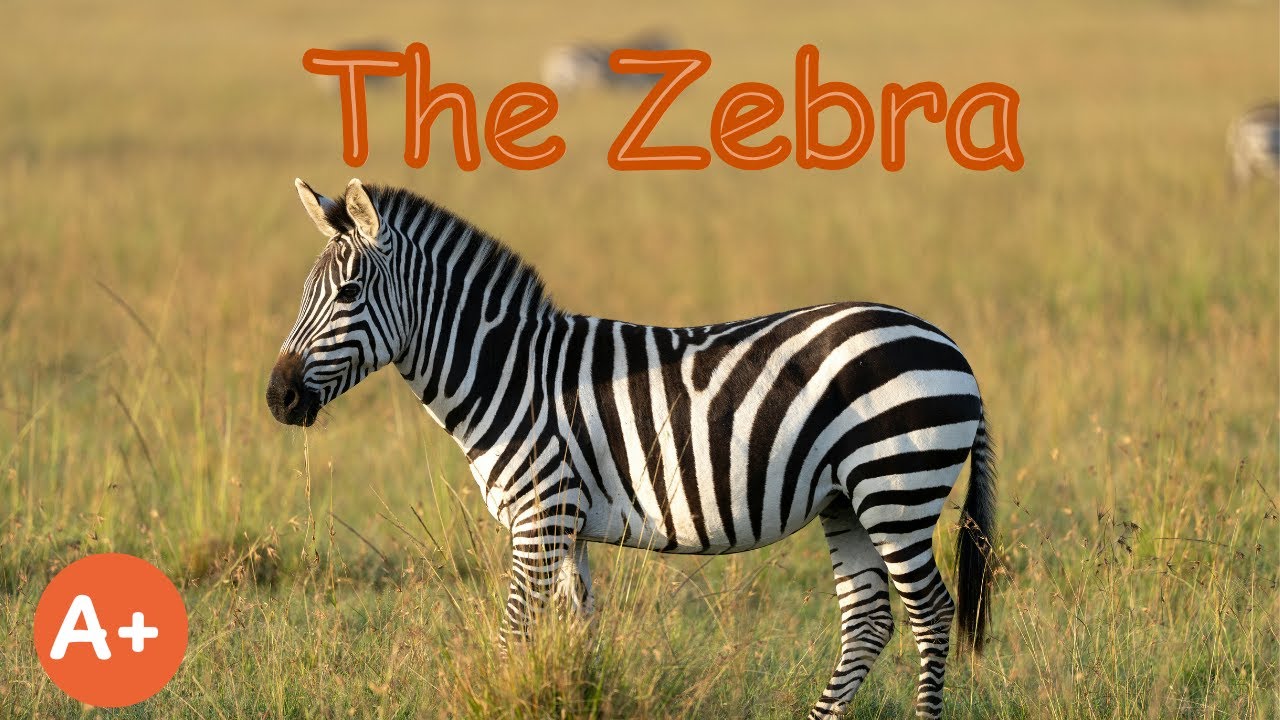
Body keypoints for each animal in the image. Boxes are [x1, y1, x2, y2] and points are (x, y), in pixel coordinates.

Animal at [266, 179, 998, 719]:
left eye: (348, 294)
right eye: (302, 295)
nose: (278, 398)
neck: (509, 374)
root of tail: (948, 341)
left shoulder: (541, 516)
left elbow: (513, 636)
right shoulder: (566, 525)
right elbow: (574, 636)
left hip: (896, 486)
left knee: (931, 614)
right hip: (846, 500)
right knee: (868, 619)